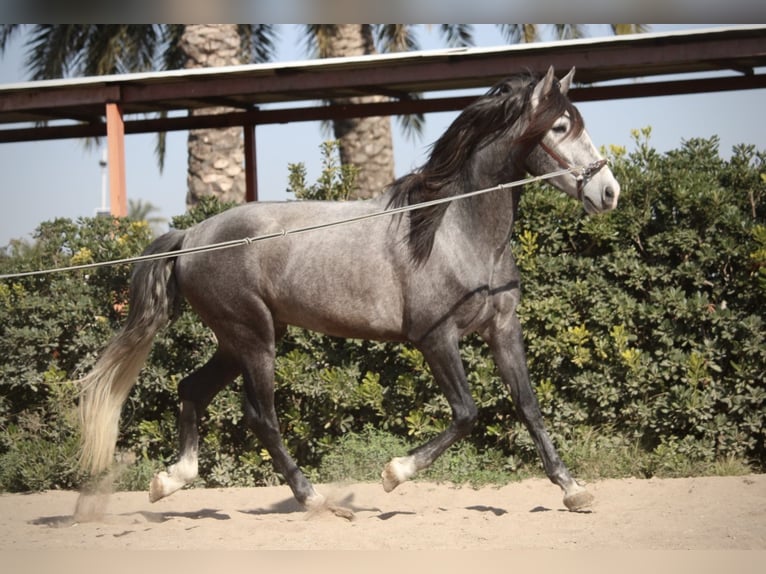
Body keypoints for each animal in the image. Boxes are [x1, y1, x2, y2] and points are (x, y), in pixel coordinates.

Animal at [75, 66, 620, 516]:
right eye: (560, 127)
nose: (609, 192)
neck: (451, 231)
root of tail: (192, 236)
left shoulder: (501, 328)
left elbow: (528, 405)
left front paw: (573, 490)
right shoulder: (436, 338)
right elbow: (467, 414)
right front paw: (394, 473)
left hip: (237, 340)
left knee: (192, 390)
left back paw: (170, 480)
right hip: (253, 338)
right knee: (260, 416)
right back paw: (314, 499)